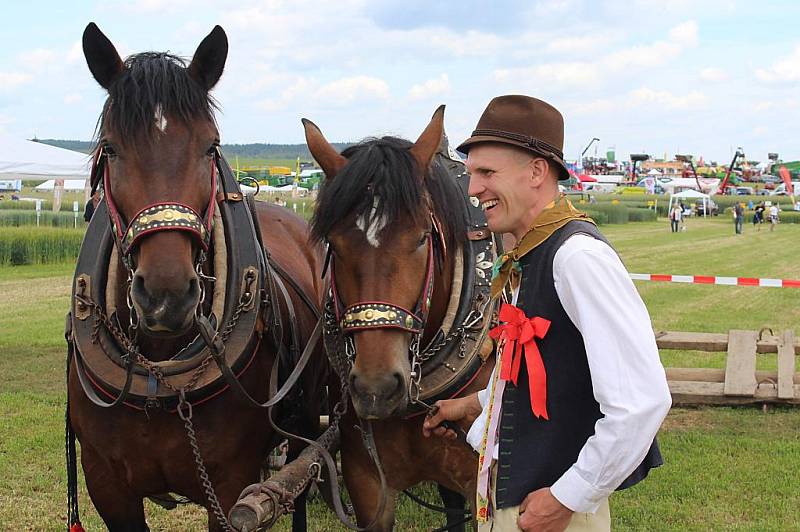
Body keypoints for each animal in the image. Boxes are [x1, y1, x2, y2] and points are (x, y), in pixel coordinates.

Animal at [65, 22, 326, 528]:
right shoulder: (106, 485)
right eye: (111, 149)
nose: (166, 296)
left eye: (210, 146)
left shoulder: (230, 486)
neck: (158, 375)